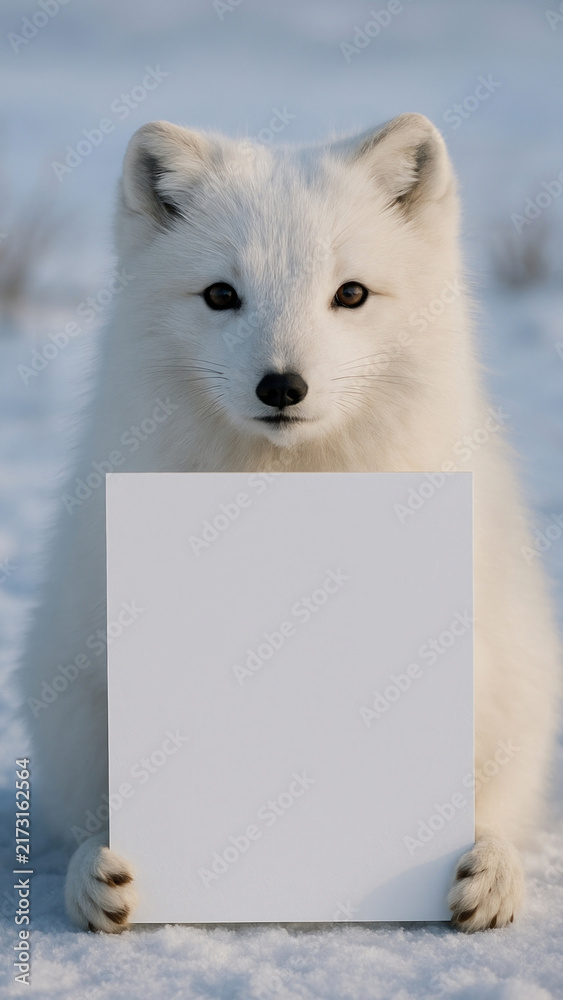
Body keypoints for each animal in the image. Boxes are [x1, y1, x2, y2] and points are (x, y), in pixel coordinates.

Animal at [21, 114, 560, 933]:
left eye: (351, 294)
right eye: (220, 294)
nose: (281, 386)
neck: (287, 482)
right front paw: (98, 871)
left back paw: (490, 868)